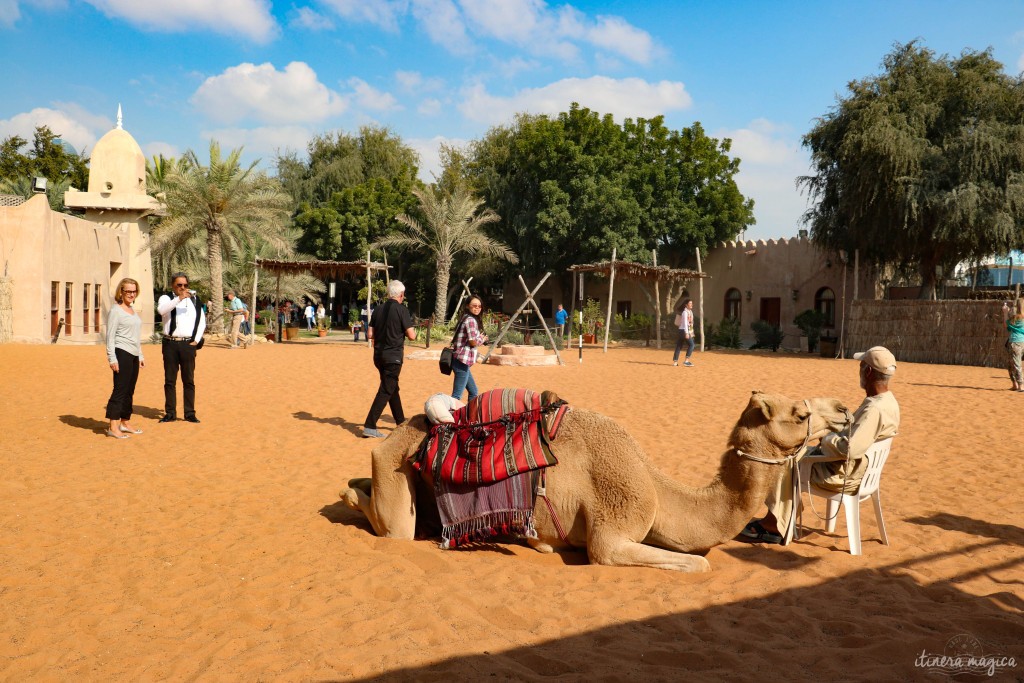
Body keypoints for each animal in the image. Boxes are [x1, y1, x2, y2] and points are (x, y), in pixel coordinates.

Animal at [339, 389, 851, 573]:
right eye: (800, 413)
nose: (845, 410)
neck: (657, 488)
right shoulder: (614, 529)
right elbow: (700, 564)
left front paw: (541, 544)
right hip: (396, 472)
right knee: (391, 522)